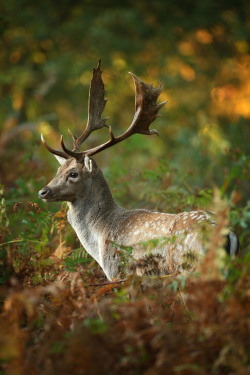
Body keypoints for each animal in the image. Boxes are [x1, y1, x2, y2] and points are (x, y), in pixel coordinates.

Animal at [38, 60, 239, 280]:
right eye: (58, 170)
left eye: (73, 173)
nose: (43, 191)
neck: (101, 236)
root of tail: (228, 233)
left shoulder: (119, 271)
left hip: (190, 267)